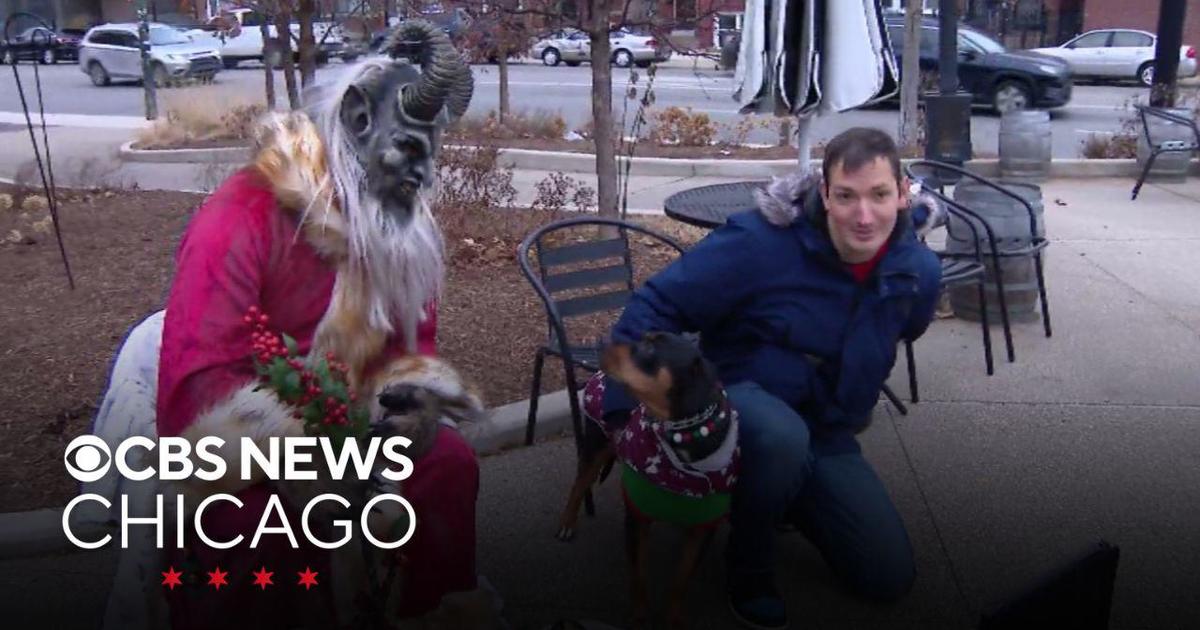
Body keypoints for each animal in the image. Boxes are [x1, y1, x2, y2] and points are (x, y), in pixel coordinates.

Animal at [554, 331, 739, 624]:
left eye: (652, 349)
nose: (601, 343)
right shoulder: (637, 520)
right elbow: (639, 576)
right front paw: (640, 618)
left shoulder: (703, 531)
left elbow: (681, 581)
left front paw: (673, 619)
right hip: (595, 445)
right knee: (579, 483)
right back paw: (567, 523)